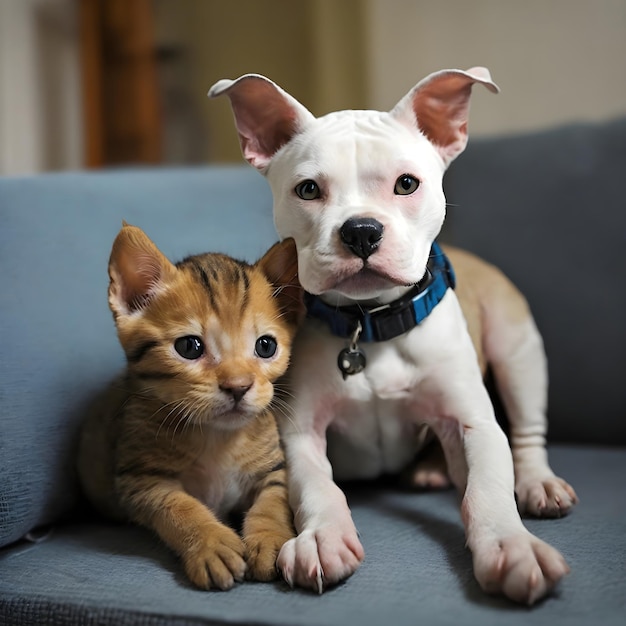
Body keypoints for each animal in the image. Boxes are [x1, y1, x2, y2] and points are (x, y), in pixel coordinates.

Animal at [78, 224, 302, 588]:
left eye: (266, 346)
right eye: (189, 347)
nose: (238, 387)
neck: (218, 437)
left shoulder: (272, 468)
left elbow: (274, 499)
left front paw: (270, 538)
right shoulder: (141, 479)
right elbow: (178, 506)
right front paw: (210, 544)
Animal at [208, 67, 576, 600]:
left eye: (407, 184)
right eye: (307, 190)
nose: (361, 230)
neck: (370, 324)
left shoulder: (472, 423)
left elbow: (487, 486)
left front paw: (512, 546)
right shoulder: (300, 433)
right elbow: (318, 486)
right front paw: (323, 538)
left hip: (517, 350)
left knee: (527, 432)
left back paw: (536, 482)